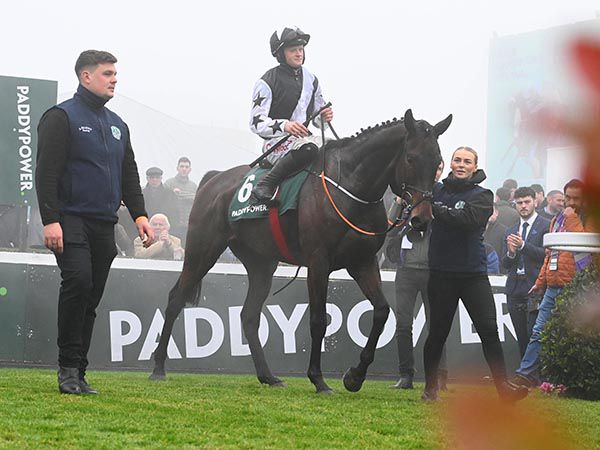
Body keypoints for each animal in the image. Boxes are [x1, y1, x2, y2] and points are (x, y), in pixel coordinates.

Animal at [149, 110, 450, 394]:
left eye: (437, 161)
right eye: (411, 158)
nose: (422, 219)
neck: (349, 187)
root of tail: (213, 179)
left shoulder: (362, 262)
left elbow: (382, 312)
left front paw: (355, 376)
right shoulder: (318, 263)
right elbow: (318, 320)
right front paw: (318, 379)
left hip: (261, 264)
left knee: (249, 315)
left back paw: (268, 376)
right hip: (203, 249)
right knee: (176, 299)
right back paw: (158, 367)